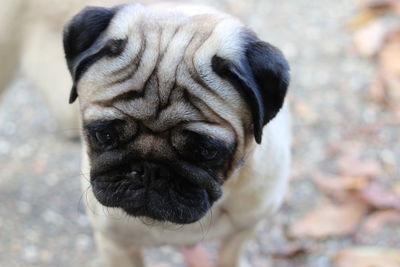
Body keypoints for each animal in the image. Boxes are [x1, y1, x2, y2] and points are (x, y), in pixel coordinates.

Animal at [62, 2, 290, 267]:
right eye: (104, 135)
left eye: (206, 151)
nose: (149, 171)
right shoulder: (116, 245)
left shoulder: (242, 231)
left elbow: (228, 257)